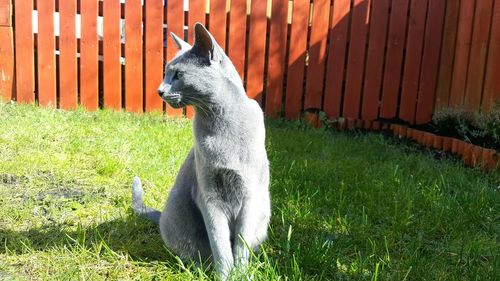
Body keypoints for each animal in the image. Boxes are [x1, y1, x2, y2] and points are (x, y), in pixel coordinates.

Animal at [130, 22, 270, 278]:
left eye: (178, 75)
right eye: (166, 73)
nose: (159, 90)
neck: (218, 120)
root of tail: (161, 215)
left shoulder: (250, 192)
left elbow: (240, 244)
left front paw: (241, 275)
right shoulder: (208, 194)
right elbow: (219, 243)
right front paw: (225, 275)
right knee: (193, 251)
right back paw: (199, 268)